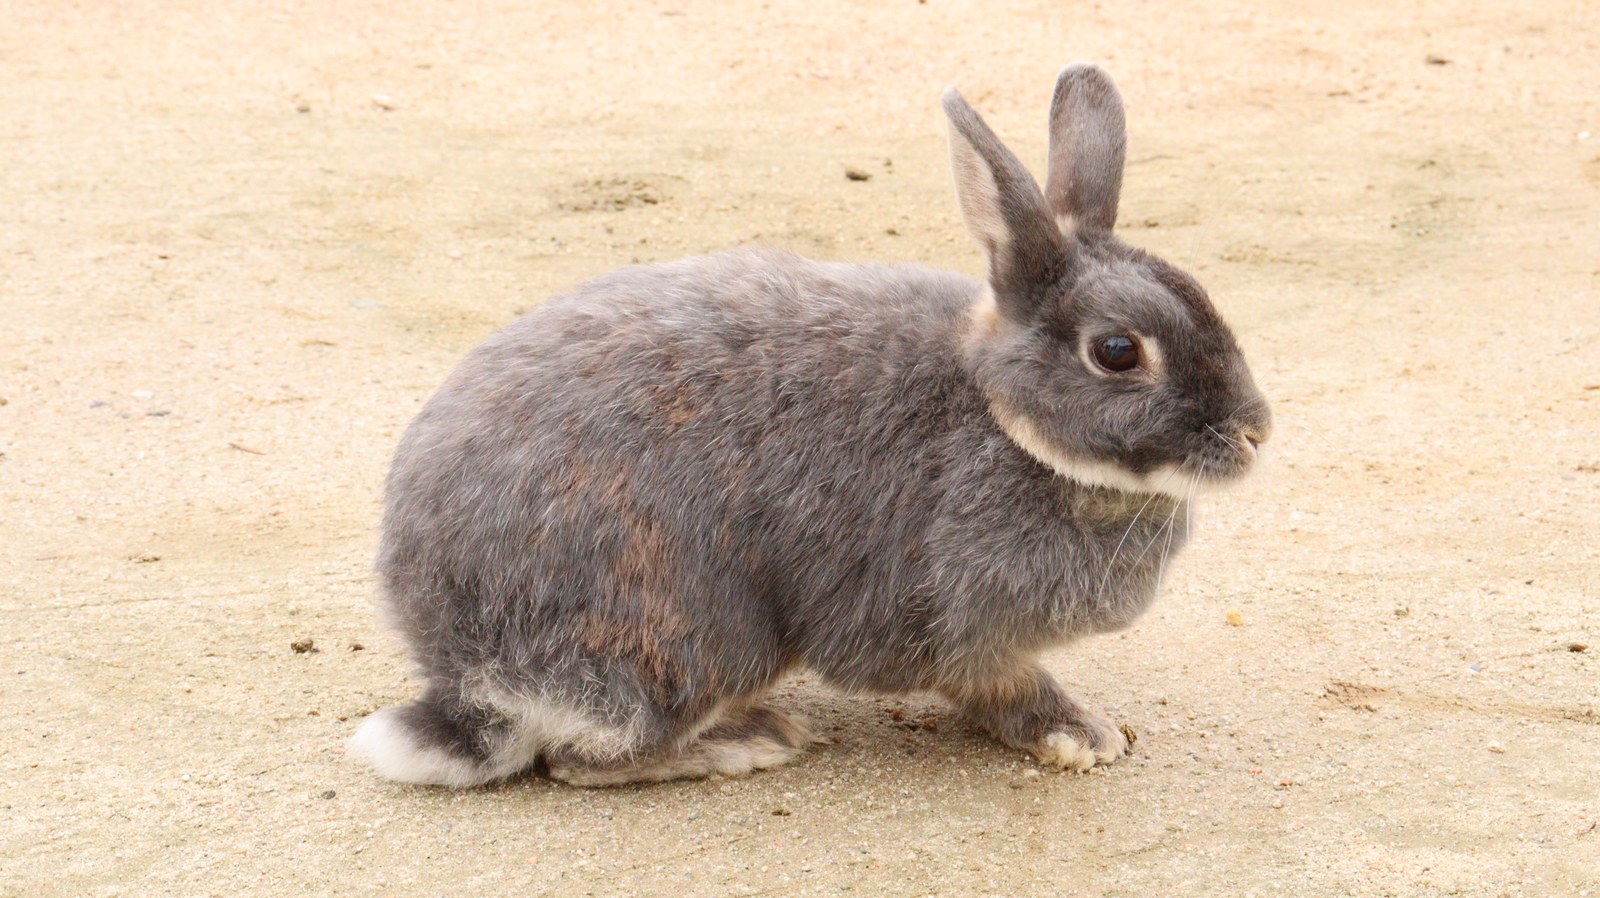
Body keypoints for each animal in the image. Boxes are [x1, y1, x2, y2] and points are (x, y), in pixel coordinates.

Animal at [349, 63, 1271, 788]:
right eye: (1117, 351)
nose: (1256, 432)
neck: (999, 416)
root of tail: (465, 676)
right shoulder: (946, 619)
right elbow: (1001, 685)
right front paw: (1079, 734)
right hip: (699, 633)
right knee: (585, 757)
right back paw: (750, 742)